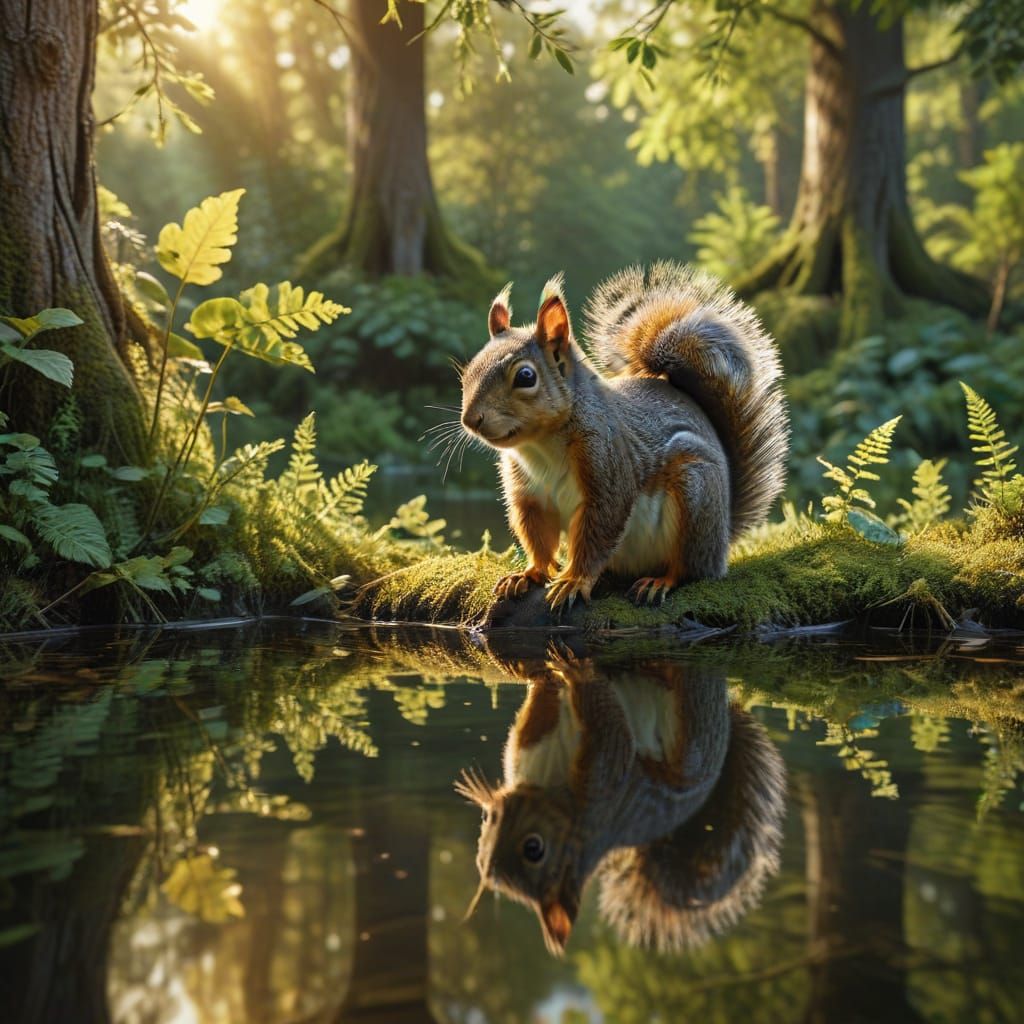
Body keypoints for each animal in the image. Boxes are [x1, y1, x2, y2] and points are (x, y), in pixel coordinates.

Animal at [455, 646, 786, 955]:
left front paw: (576, 671)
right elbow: (533, 723)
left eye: (533, 849)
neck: (548, 784)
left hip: (693, 732)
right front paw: (533, 673)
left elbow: (610, 735)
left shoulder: (603, 791)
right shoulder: (538, 745)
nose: (488, 863)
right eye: (485, 819)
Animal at [458, 261, 789, 610]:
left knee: (690, 568)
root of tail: (723, 536)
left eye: (525, 376)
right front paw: (530, 573)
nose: (471, 420)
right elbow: (538, 537)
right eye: (469, 369)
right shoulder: (530, 495)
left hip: (695, 491)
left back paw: (661, 581)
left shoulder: (607, 464)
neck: (540, 446)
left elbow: (598, 532)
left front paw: (573, 582)